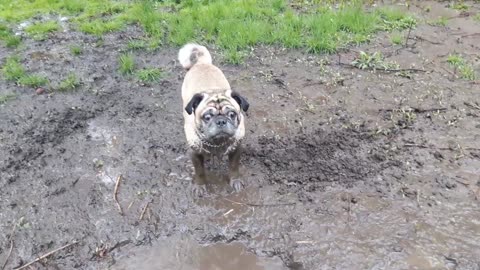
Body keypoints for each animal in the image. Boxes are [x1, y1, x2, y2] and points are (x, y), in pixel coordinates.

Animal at [177, 42, 251, 196]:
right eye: (207, 117)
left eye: (232, 114)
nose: (221, 121)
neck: (217, 143)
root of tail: (201, 63)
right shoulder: (194, 153)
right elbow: (199, 172)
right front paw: (200, 186)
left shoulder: (236, 149)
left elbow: (234, 167)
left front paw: (235, 181)